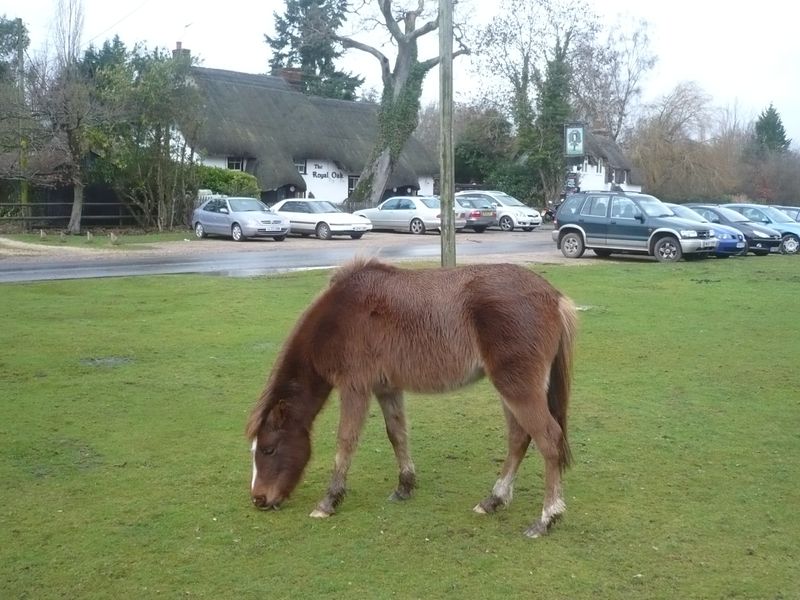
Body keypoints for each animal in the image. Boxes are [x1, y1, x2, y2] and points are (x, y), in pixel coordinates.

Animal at [247, 258, 580, 540]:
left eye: (268, 449)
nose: (259, 499)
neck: (339, 316)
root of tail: (554, 298)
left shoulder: (355, 387)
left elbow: (346, 442)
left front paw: (329, 501)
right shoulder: (386, 388)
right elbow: (397, 434)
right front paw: (405, 486)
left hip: (517, 387)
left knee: (549, 440)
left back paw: (546, 518)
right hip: (512, 389)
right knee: (519, 438)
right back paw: (493, 500)